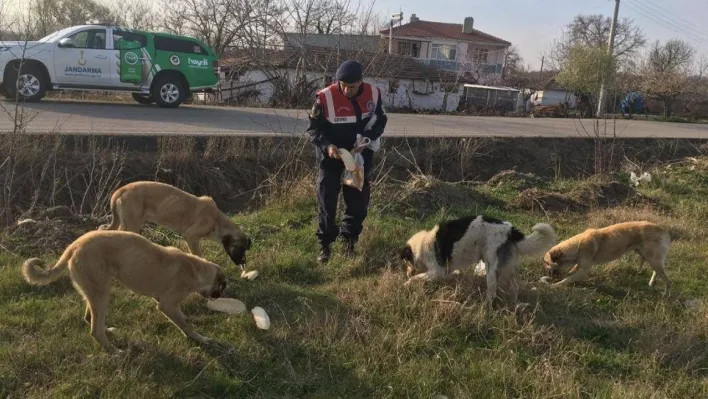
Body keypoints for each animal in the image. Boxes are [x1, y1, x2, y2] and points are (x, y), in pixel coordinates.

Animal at [21, 230, 227, 352]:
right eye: (222, 286)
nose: (220, 296)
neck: (194, 267)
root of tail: (75, 245)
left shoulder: (161, 299)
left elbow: (183, 319)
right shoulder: (167, 304)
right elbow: (186, 325)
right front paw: (201, 339)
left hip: (95, 292)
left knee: (90, 319)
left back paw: (109, 332)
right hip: (101, 293)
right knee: (95, 331)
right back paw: (115, 351)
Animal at [99, 181, 252, 268]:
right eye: (239, 248)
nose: (244, 263)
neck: (217, 220)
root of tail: (120, 190)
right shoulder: (191, 237)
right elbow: (198, 255)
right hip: (131, 224)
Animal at [398, 217, 560, 310]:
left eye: (406, 263)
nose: (406, 273)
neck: (421, 245)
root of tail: (510, 230)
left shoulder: (437, 270)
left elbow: (417, 278)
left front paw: (406, 284)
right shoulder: (444, 272)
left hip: (492, 270)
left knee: (492, 292)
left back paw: (485, 308)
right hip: (503, 269)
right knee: (514, 287)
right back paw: (512, 306)